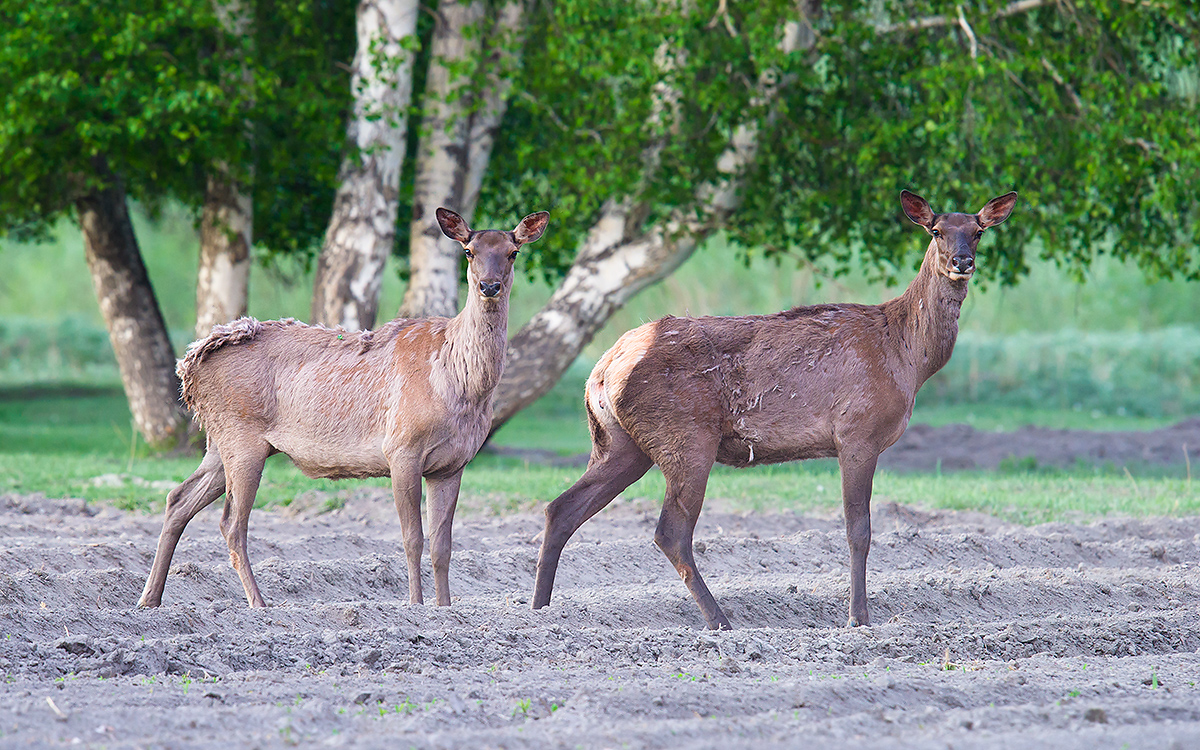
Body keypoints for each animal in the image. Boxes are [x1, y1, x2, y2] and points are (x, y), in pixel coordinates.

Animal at [139, 206, 549, 609]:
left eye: (513, 252)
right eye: (469, 251)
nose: (489, 286)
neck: (459, 382)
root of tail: (190, 364)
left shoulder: (453, 464)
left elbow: (443, 546)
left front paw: (445, 609)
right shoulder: (401, 448)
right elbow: (413, 538)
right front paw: (416, 607)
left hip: (219, 442)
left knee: (178, 499)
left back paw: (150, 600)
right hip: (241, 437)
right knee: (231, 523)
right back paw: (259, 606)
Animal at [532, 187, 1012, 624]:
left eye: (978, 231)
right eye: (936, 231)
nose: (962, 262)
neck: (908, 357)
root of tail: (604, 367)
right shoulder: (857, 430)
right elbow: (859, 530)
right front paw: (858, 619)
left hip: (620, 442)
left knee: (562, 509)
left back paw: (539, 613)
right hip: (686, 436)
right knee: (670, 531)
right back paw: (720, 622)